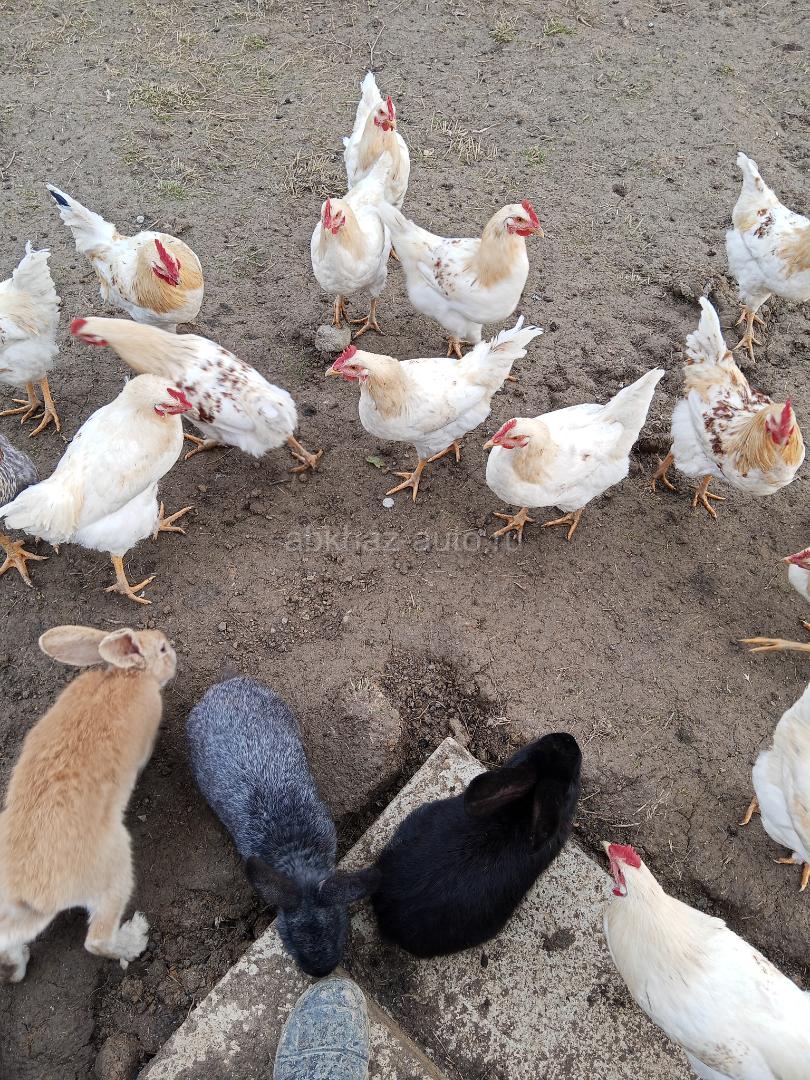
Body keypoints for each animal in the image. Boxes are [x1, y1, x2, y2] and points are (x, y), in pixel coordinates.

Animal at [0, 624, 176, 983]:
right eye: (163, 649)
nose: (174, 651)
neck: (128, 674)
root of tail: (29, 893)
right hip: (114, 869)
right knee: (97, 940)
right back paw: (134, 939)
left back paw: (16, 966)